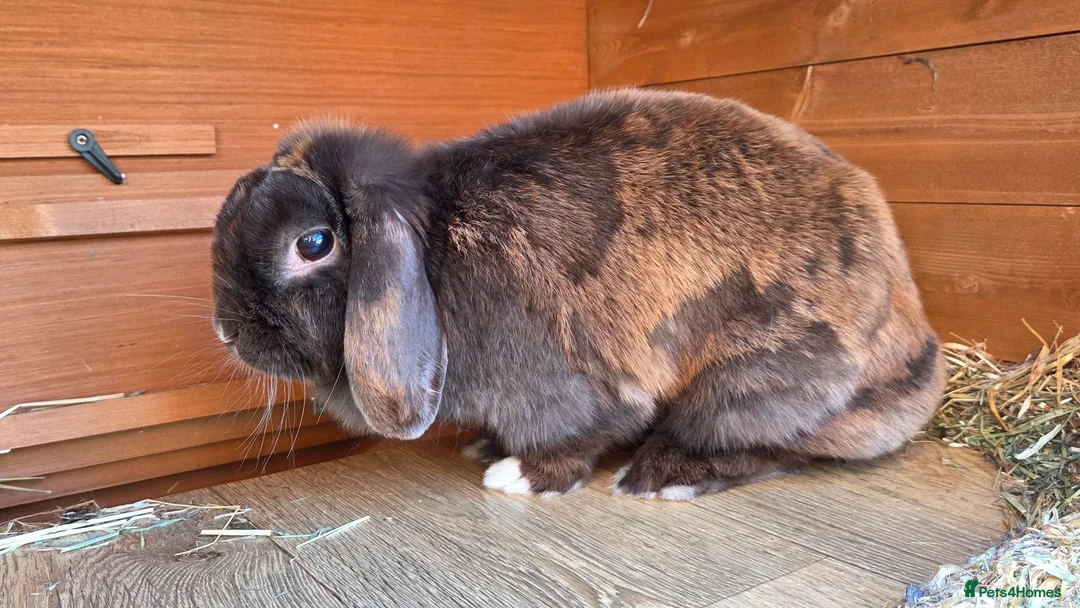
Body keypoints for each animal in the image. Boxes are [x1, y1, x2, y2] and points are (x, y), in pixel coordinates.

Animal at [210, 88, 945, 500]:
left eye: (313, 243)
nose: (226, 331)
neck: (434, 245)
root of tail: (920, 356)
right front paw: (488, 448)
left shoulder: (565, 383)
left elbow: (580, 433)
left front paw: (519, 477)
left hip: (756, 381)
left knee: (773, 446)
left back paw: (660, 476)